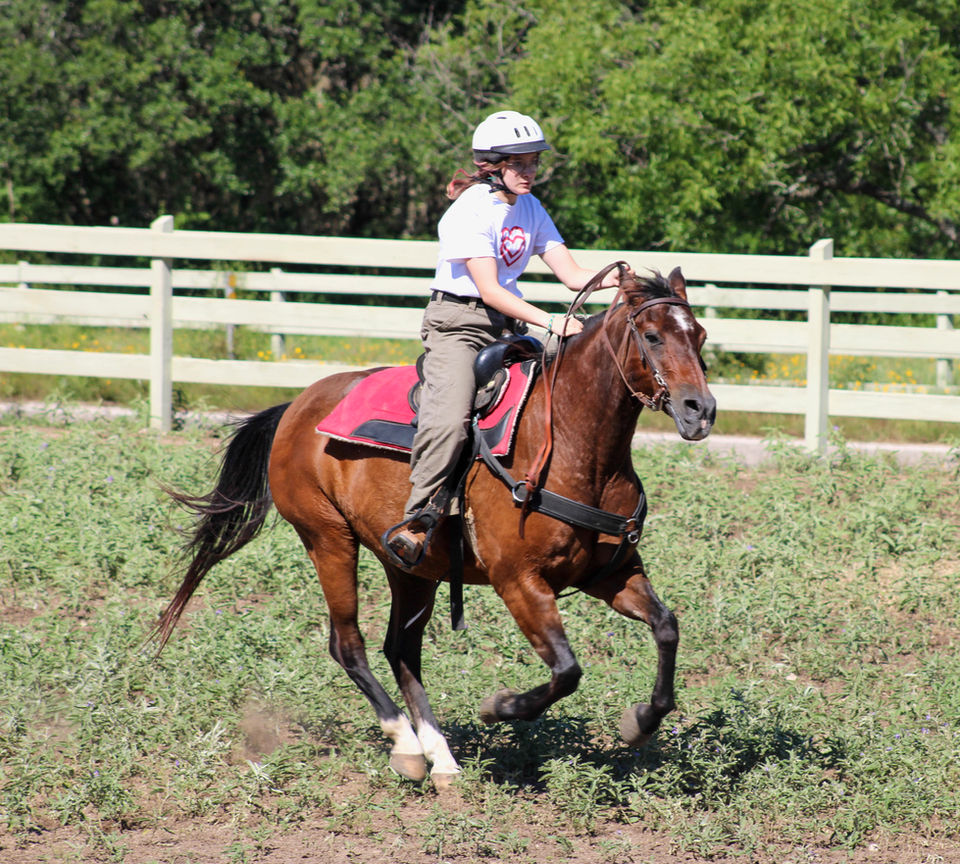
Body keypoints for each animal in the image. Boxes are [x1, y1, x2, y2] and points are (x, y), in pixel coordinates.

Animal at [153, 266, 715, 788]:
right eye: (652, 336)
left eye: (701, 335)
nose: (701, 410)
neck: (572, 446)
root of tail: (295, 406)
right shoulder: (519, 582)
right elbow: (567, 669)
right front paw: (499, 706)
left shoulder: (610, 574)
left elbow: (666, 627)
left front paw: (641, 721)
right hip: (327, 539)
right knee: (348, 644)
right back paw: (405, 745)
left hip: (409, 564)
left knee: (400, 649)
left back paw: (440, 755)